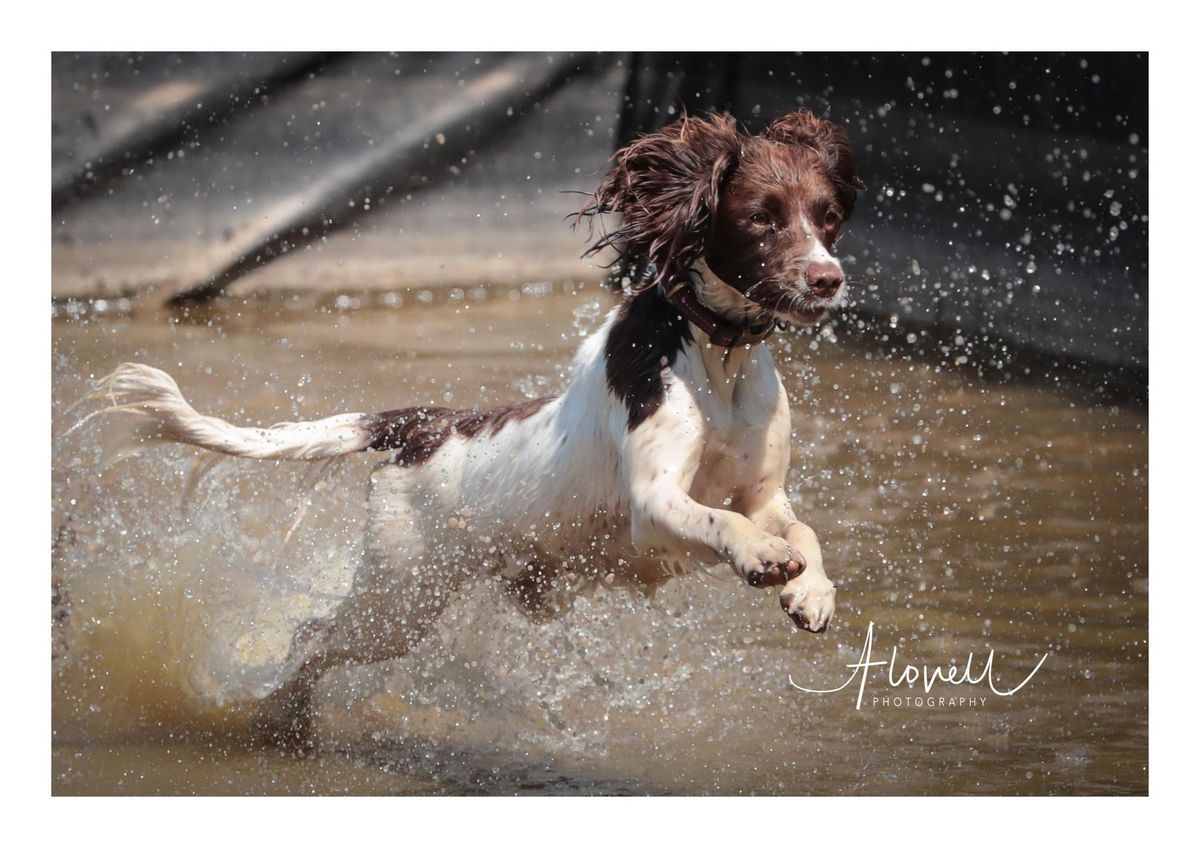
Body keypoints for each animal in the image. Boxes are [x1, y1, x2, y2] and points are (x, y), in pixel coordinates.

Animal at [77, 110, 864, 734]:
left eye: (827, 216)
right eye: (761, 215)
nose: (828, 279)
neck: (716, 355)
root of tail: (424, 426)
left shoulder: (764, 491)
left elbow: (801, 529)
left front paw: (811, 591)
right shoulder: (653, 502)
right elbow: (720, 520)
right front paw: (761, 558)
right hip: (400, 597)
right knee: (315, 633)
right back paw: (282, 716)